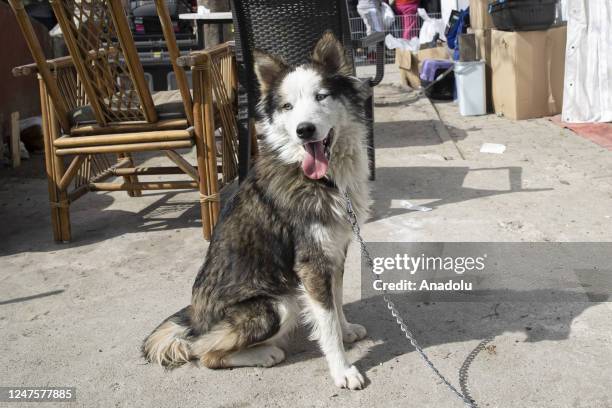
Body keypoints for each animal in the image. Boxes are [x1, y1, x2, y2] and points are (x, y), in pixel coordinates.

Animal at [143, 31, 370, 388]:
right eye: (287, 106)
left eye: (321, 97)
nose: (304, 130)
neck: (321, 177)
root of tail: (194, 319)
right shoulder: (311, 262)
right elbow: (326, 322)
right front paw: (342, 370)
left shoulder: (335, 250)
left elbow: (336, 301)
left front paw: (346, 330)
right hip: (280, 303)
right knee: (202, 352)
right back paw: (264, 354)